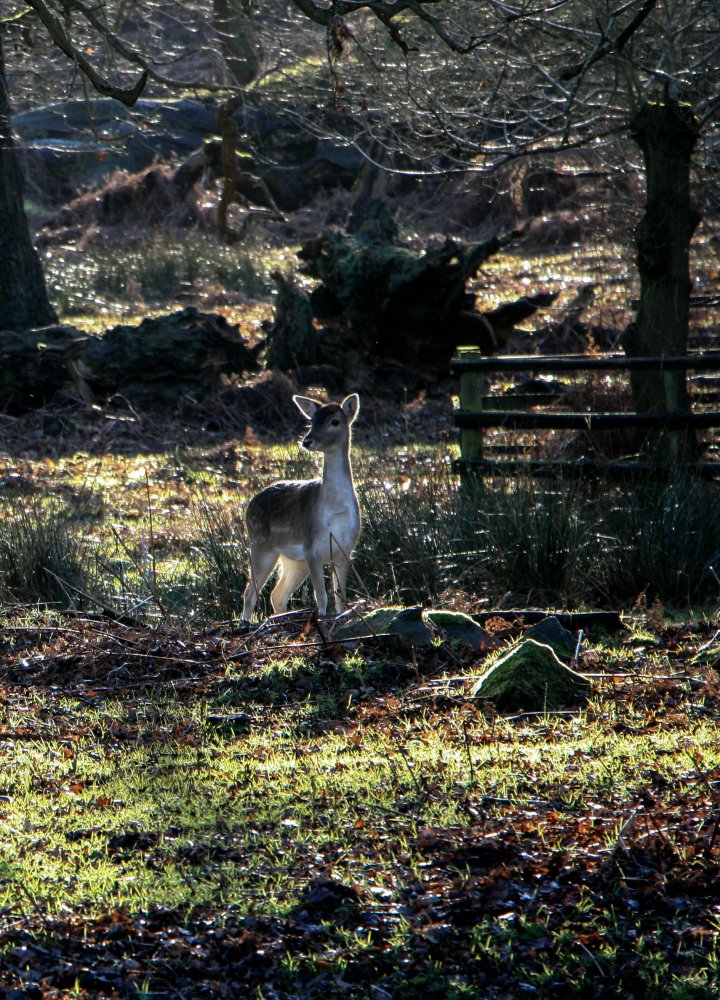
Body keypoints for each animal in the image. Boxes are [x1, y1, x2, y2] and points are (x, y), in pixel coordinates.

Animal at [243, 394, 360, 620]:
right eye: (312, 421)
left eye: (335, 421)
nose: (307, 440)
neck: (335, 510)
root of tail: (249, 505)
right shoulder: (311, 547)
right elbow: (321, 596)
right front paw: (322, 618)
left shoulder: (345, 549)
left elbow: (340, 596)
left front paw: (341, 616)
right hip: (261, 545)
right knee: (250, 593)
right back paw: (245, 624)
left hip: (294, 562)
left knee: (277, 594)